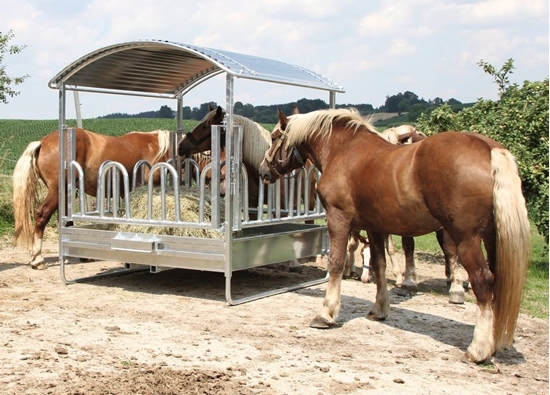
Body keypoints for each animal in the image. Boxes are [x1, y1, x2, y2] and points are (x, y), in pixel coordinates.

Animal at [260, 107, 532, 366]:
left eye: (274, 138)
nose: (264, 171)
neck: (342, 151)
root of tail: (489, 148)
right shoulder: (374, 227)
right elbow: (379, 265)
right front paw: (379, 309)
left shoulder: (338, 219)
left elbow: (336, 263)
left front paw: (326, 314)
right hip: (493, 238)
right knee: (497, 278)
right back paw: (492, 344)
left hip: (467, 239)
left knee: (482, 281)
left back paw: (477, 350)